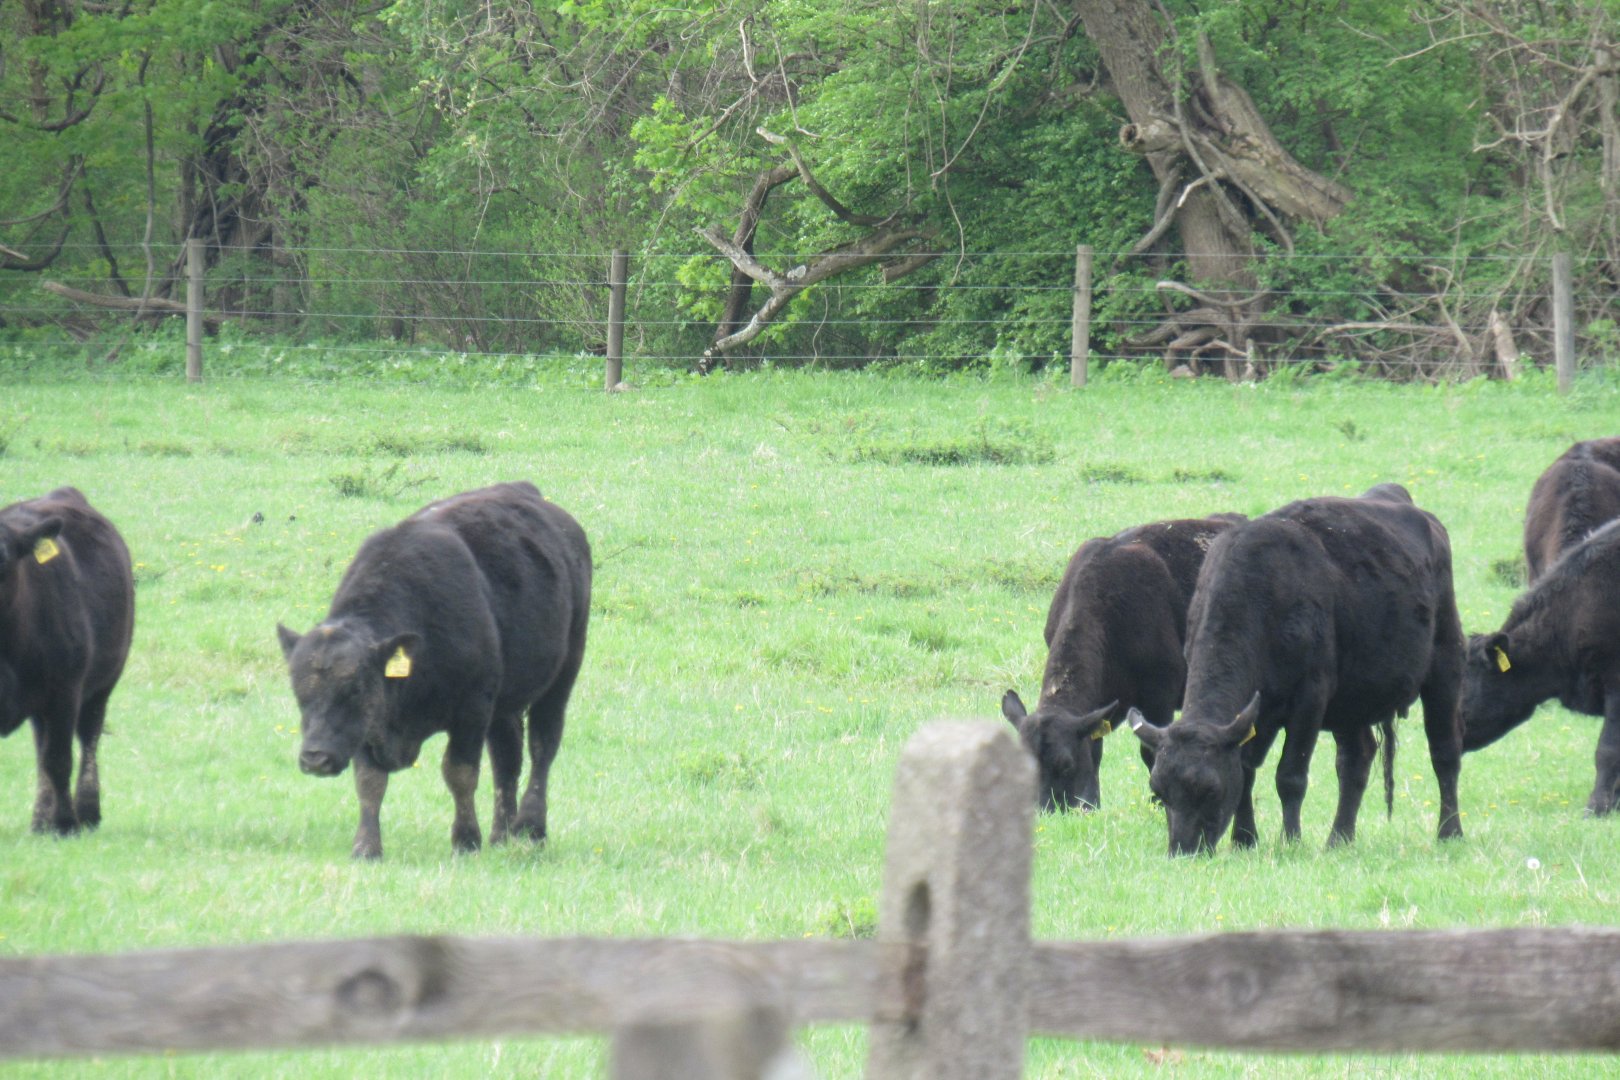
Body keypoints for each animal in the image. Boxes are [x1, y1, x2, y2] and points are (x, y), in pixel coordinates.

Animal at [0, 488, 134, 834]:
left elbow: (58, 760)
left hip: (98, 689)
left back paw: (85, 812)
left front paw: (65, 824)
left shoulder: (64, 691)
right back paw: (40, 820)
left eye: (2, 558)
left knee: (87, 740)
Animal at [278, 482, 590, 859]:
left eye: (354, 689)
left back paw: (531, 828)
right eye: (299, 692)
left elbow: (459, 772)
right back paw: (501, 834)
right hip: (505, 705)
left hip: (561, 678)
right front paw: (366, 847)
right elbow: (369, 781)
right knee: (507, 758)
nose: (315, 758)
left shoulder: (471, 711)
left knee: (542, 746)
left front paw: (465, 840)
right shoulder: (370, 727)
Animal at [1001, 515, 1241, 811]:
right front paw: (1092, 802)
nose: (1045, 810)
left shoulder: (1158, 696)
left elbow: (1150, 752)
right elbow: (1095, 749)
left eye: (1066, 765)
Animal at [1128, 484, 1465, 856]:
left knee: (1445, 753)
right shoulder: (1259, 713)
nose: (1183, 849)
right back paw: (1339, 838)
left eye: (1210, 788)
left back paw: (1450, 831)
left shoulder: (1310, 697)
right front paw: (1244, 839)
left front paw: (1290, 839)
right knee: (1356, 759)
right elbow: (1246, 771)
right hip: (1351, 700)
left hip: (1445, 662)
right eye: (1159, 791)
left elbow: (1290, 775)